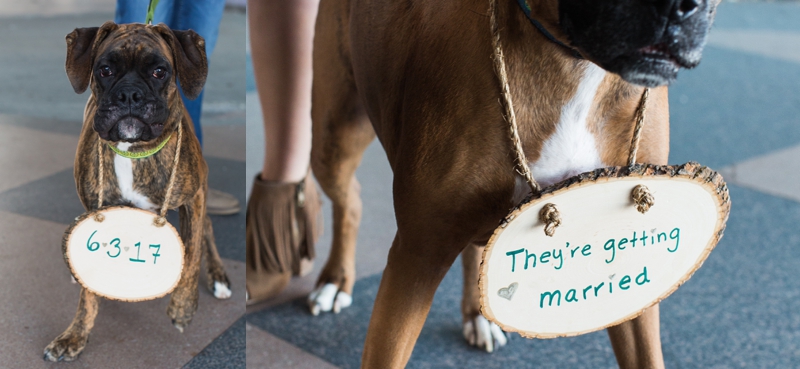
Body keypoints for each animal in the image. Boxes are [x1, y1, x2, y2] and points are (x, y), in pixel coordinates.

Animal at [43, 21, 231, 360]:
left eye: (159, 71)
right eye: (104, 70)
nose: (129, 94)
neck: (132, 150)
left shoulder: (193, 199)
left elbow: (193, 254)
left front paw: (183, 307)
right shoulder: (98, 213)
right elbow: (88, 291)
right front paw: (75, 335)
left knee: (207, 230)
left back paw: (218, 276)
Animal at [310, 0, 720, 366]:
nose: (679, 5)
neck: (573, 62)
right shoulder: (416, 258)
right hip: (333, 140)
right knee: (350, 200)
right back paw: (335, 280)